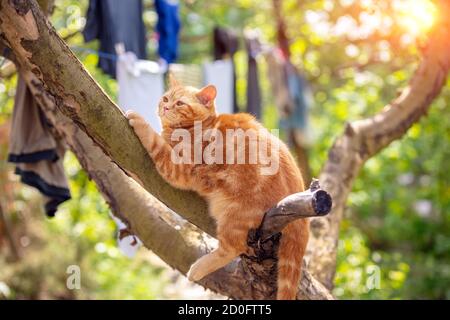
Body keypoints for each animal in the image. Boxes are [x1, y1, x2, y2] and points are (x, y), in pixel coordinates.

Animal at [126, 75, 310, 300]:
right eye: (166, 98)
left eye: (180, 103)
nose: (166, 107)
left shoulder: (180, 168)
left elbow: (155, 142)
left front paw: (139, 120)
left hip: (233, 216)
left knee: (233, 247)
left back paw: (196, 270)